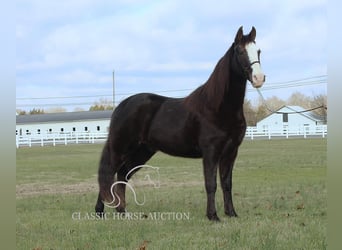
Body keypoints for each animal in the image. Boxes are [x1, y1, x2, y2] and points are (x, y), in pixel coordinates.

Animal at [95, 25, 266, 221]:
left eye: (258, 51)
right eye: (240, 51)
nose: (259, 78)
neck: (217, 107)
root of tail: (121, 106)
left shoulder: (231, 152)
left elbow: (227, 183)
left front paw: (231, 213)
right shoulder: (210, 152)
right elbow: (211, 184)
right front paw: (213, 216)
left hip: (142, 151)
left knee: (122, 175)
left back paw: (122, 211)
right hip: (121, 148)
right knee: (109, 174)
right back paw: (100, 212)